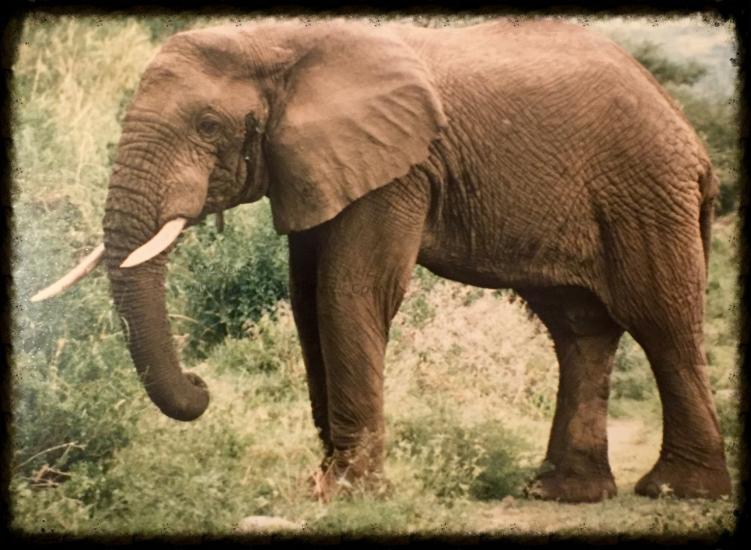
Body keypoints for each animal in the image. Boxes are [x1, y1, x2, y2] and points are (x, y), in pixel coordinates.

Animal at [33, 17, 731, 503]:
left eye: (208, 126)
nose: (203, 387)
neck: (278, 40)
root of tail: (691, 139)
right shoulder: (318, 165)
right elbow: (308, 303)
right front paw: (324, 485)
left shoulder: (398, 170)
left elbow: (350, 293)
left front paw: (346, 493)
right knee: (579, 331)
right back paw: (563, 494)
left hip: (646, 192)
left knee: (662, 323)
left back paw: (677, 492)